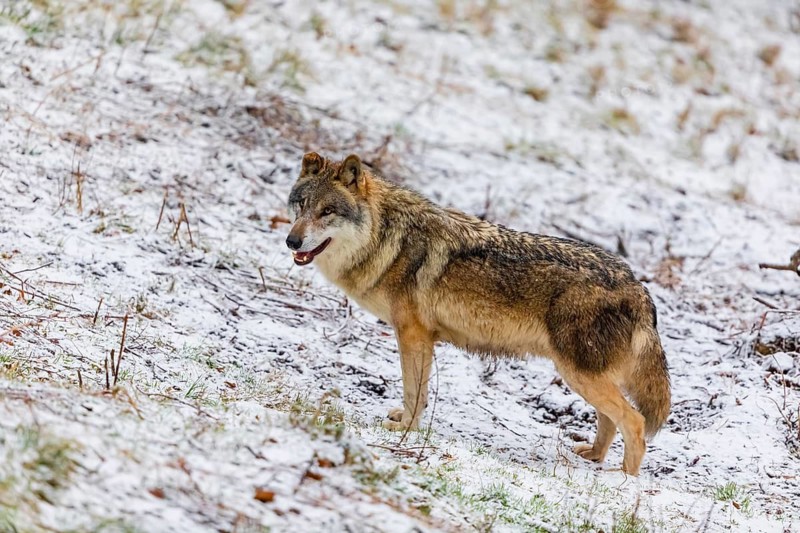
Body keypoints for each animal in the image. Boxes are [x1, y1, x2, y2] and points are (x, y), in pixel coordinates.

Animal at [285, 152, 671, 475]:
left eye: (327, 211)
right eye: (301, 205)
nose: (292, 241)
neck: (390, 238)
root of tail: (639, 289)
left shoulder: (412, 334)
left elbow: (414, 391)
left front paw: (406, 427)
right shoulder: (420, 337)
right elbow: (417, 392)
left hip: (578, 374)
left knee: (634, 422)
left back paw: (626, 480)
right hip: (583, 377)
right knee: (610, 420)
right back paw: (593, 456)